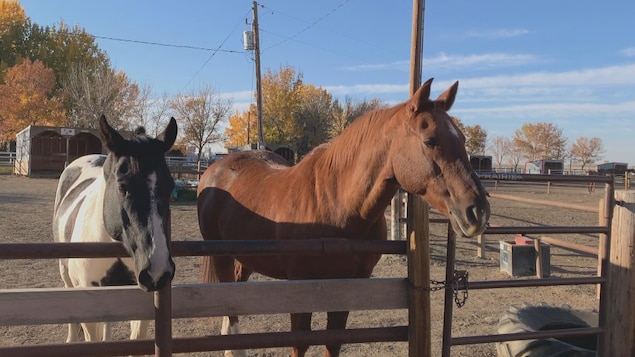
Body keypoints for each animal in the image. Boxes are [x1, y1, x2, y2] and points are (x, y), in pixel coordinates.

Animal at [198, 78, 492, 356]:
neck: (337, 206)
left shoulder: (347, 287)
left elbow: (334, 343)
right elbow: (299, 344)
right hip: (221, 255)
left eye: (462, 139)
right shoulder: (300, 287)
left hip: (245, 256)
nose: (477, 211)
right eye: (430, 140)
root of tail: (215, 170)